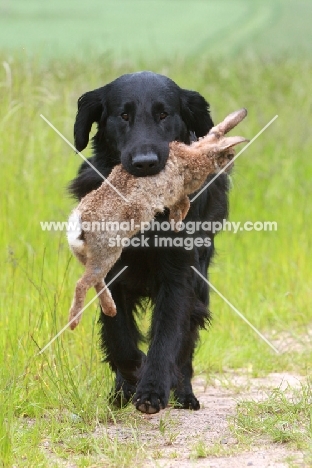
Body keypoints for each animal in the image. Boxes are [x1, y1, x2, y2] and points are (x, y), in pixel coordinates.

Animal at [69, 71, 229, 414]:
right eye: (124, 115)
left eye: (164, 114)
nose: (145, 162)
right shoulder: (108, 274)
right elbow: (119, 338)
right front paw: (132, 375)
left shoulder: (179, 276)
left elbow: (167, 336)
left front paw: (153, 390)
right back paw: (122, 392)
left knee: (186, 344)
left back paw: (184, 393)